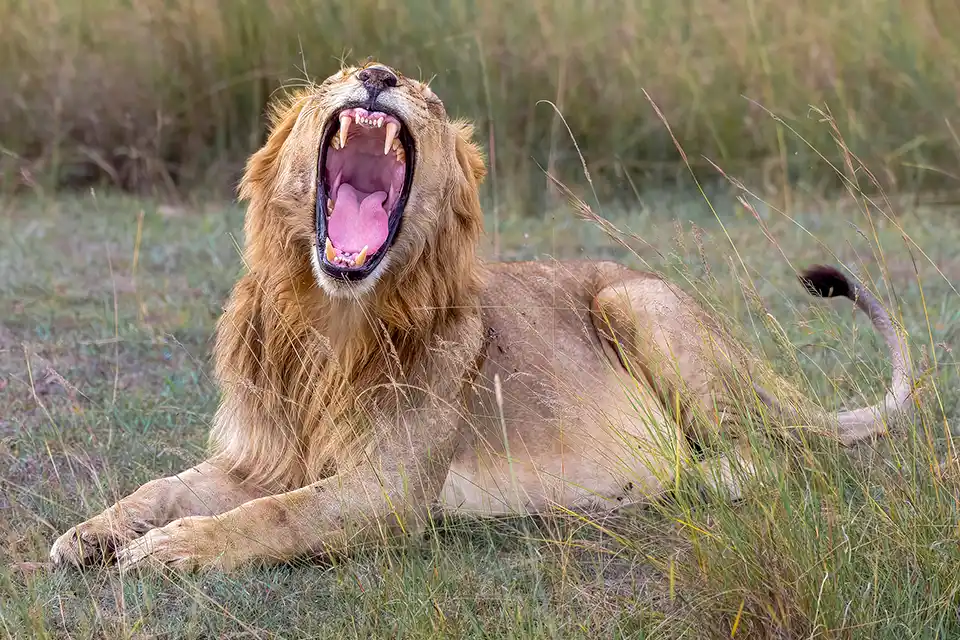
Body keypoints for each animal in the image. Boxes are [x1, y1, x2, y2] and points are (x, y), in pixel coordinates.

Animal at [50, 62, 914, 571]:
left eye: (427, 99)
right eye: (337, 77)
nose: (377, 75)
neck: (330, 324)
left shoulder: (389, 490)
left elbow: (276, 516)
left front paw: (173, 550)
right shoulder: (259, 456)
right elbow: (163, 487)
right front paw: (90, 533)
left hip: (638, 301)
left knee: (775, 457)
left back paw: (680, 478)